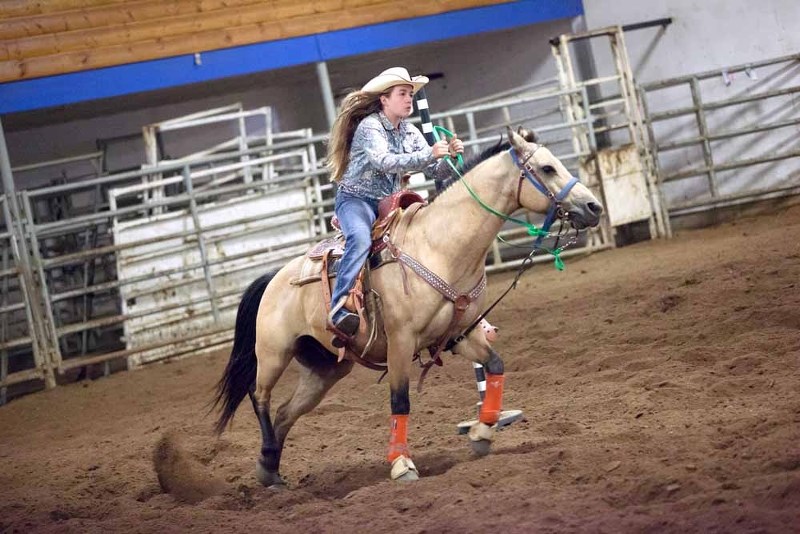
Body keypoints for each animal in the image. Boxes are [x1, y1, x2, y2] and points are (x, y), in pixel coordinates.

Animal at [212, 126, 600, 490]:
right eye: (547, 168)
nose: (594, 207)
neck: (441, 246)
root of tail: (273, 278)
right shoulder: (401, 342)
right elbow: (400, 401)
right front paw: (402, 465)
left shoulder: (459, 335)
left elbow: (494, 366)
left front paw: (483, 432)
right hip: (274, 353)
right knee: (260, 396)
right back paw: (267, 460)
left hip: (325, 369)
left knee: (284, 412)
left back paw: (271, 471)